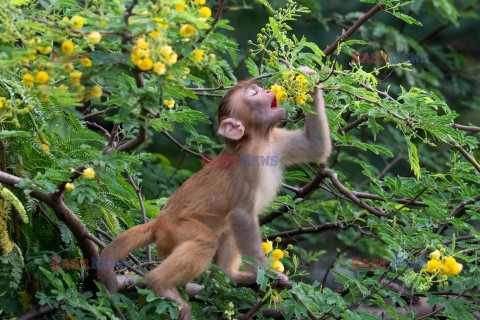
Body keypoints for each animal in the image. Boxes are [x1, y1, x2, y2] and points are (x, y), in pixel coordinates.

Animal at [97, 66, 330, 318]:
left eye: (258, 89)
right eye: (253, 94)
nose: (268, 90)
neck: (259, 141)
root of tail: (158, 222)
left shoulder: (276, 142)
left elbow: (315, 147)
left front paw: (308, 77)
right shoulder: (248, 165)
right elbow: (242, 216)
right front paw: (265, 271)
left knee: (226, 228)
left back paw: (231, 276)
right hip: (174, 230)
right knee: (207, 240)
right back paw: (160, 284)